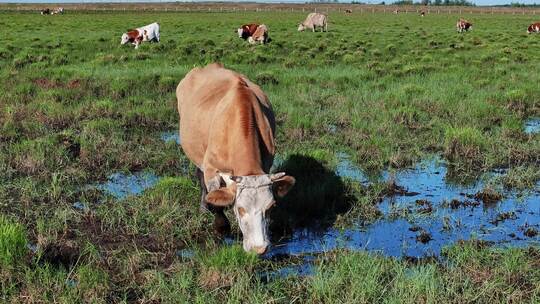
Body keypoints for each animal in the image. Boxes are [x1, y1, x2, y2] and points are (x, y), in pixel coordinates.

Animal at [176, 62, 296, 254]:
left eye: (270, 208)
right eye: (240, 209)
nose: (259, 249)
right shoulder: (211, 168)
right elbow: (215, 201)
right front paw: (221, 228)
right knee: (200, 176)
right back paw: (203, 207)